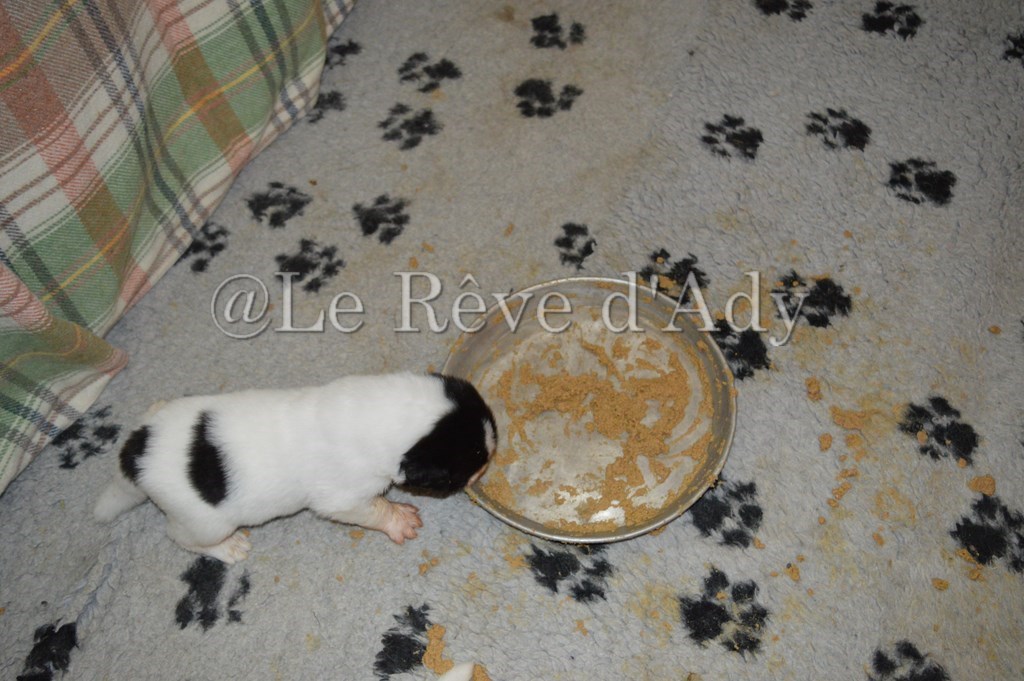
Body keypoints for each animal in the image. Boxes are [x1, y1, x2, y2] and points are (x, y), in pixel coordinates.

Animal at [94, 373, 496, 563]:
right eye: (474, 456)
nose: (490, 460)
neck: (373, 412)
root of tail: (135, 453)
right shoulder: (343, 497)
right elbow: (370, 508)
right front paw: (398, 518)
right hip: (203, 521)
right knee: (180, 538)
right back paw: (228, 548)